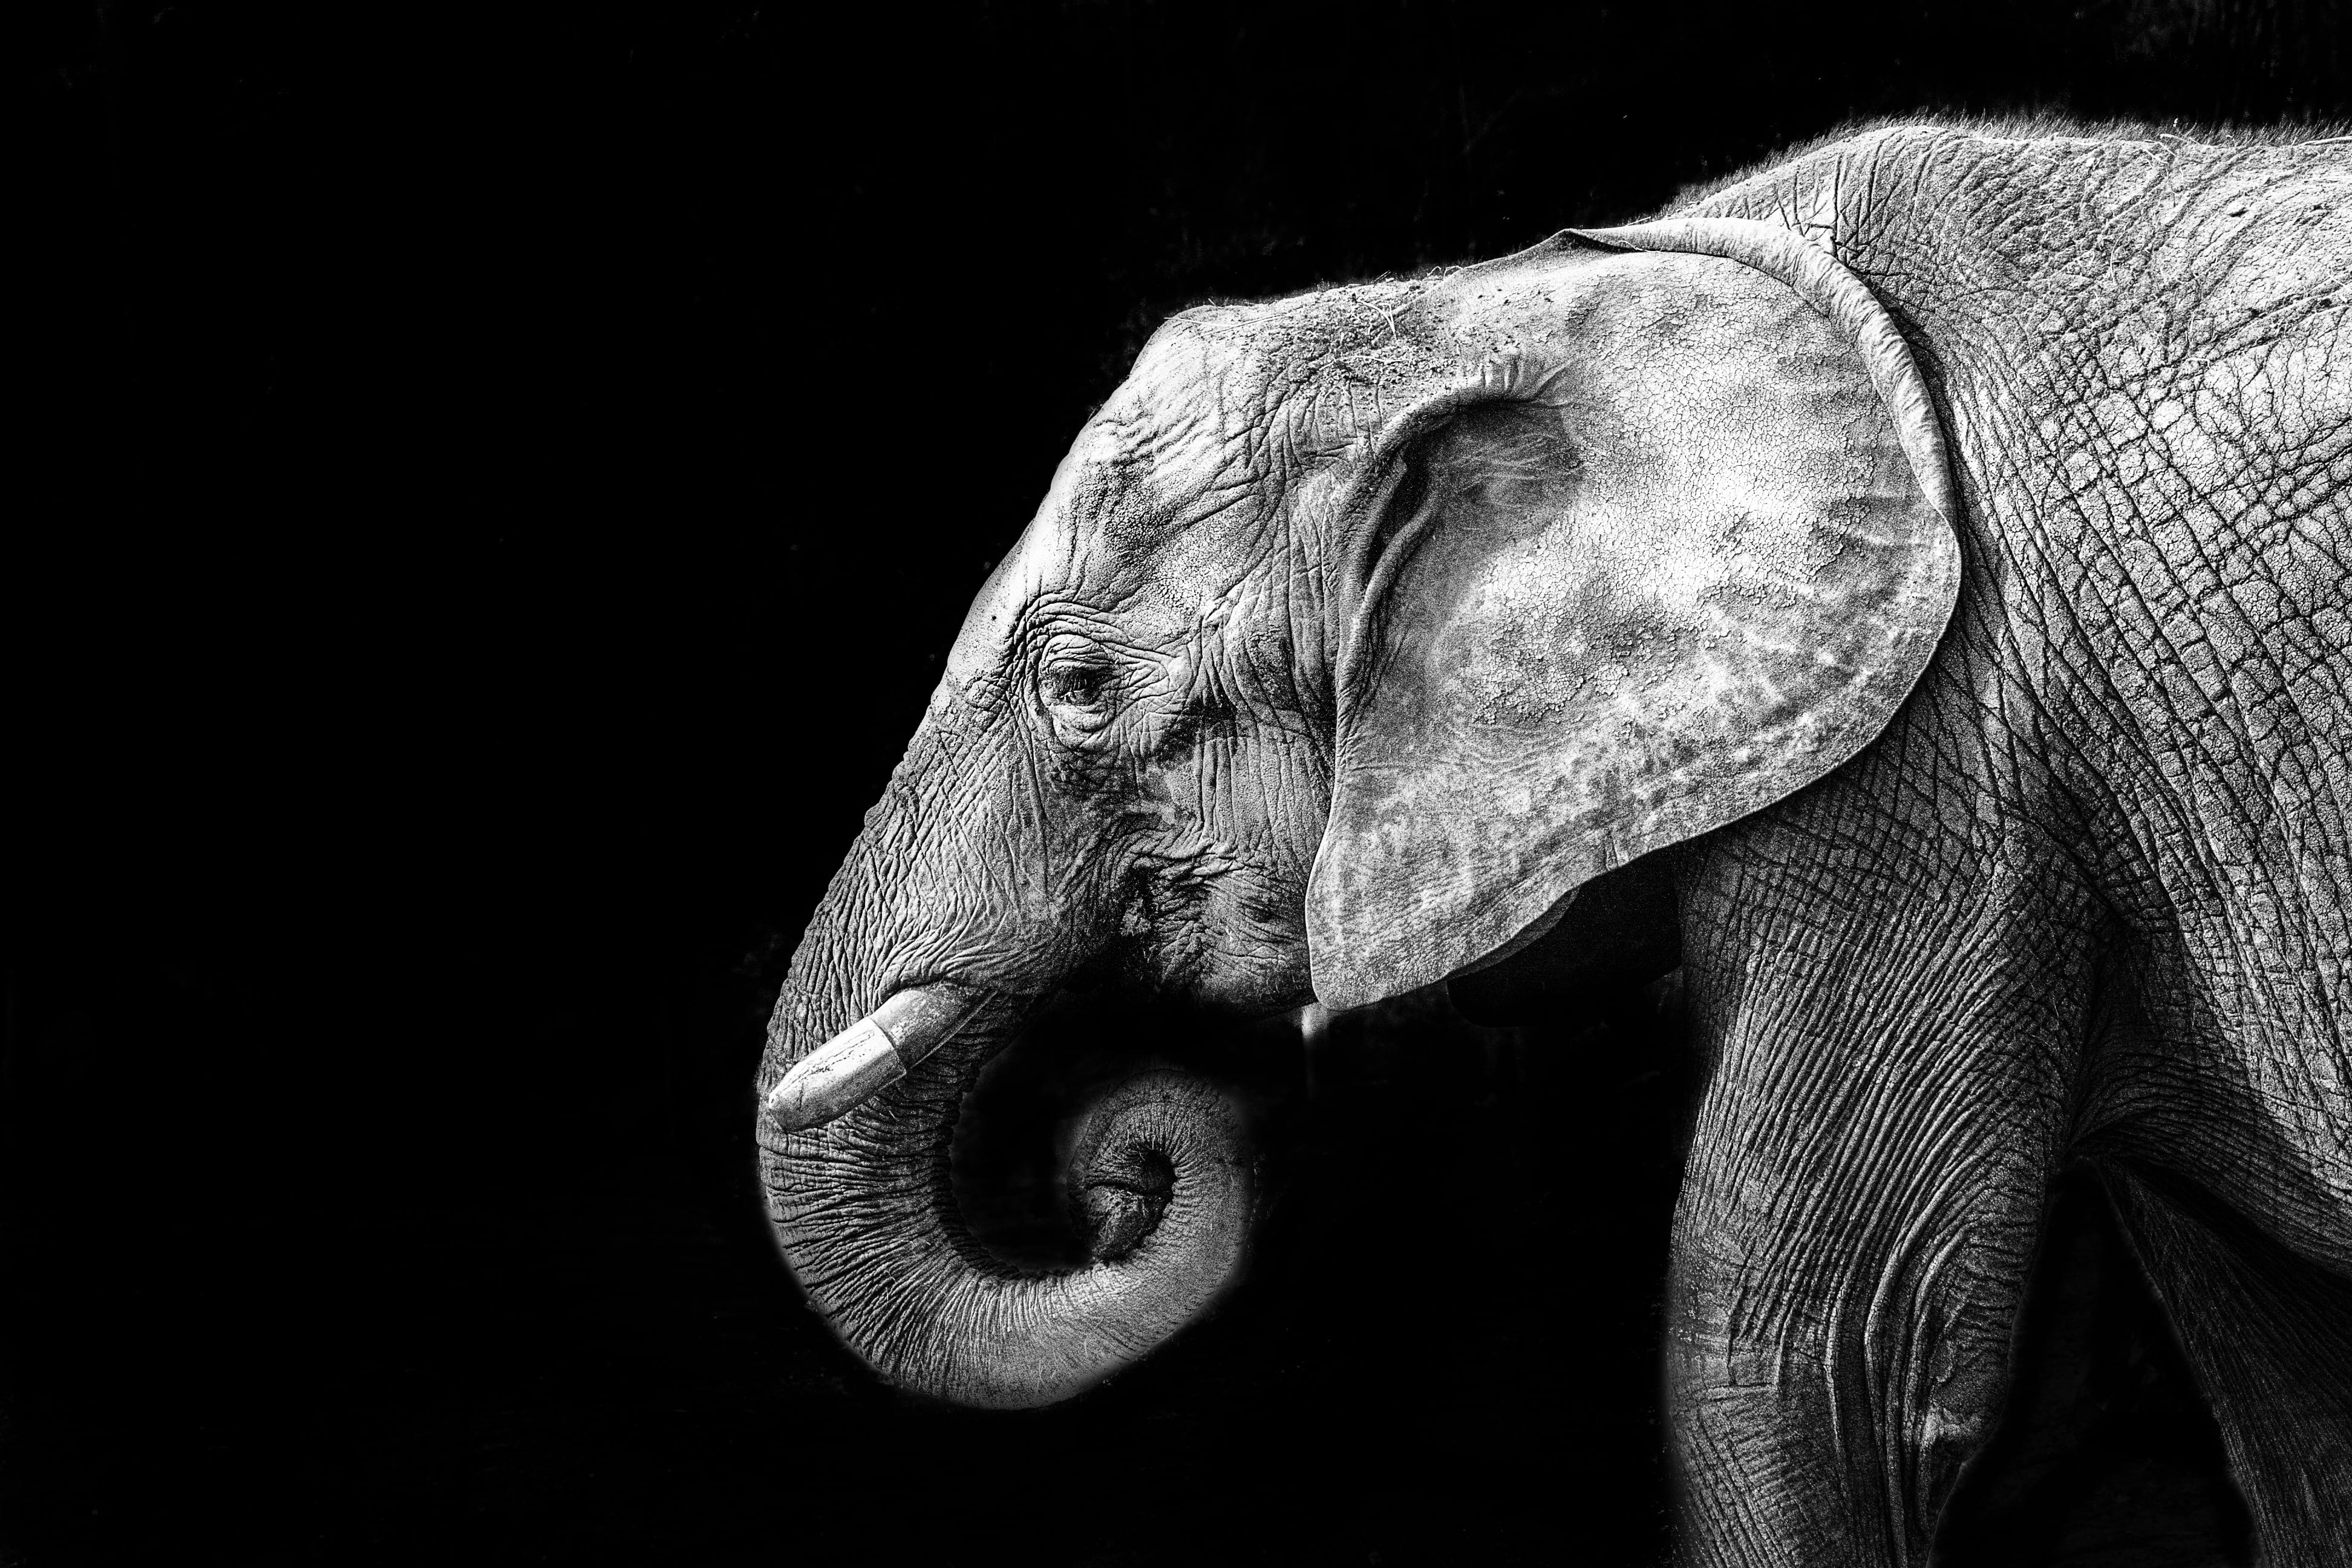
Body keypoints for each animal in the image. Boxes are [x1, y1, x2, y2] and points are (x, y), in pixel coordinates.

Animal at [756, 122, 2351, 1564]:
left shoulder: (1941, 751)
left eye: (1078, 687)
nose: (1121, 1170)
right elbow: (2287, 1394)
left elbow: (1814, 1360)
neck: (1528, 297)